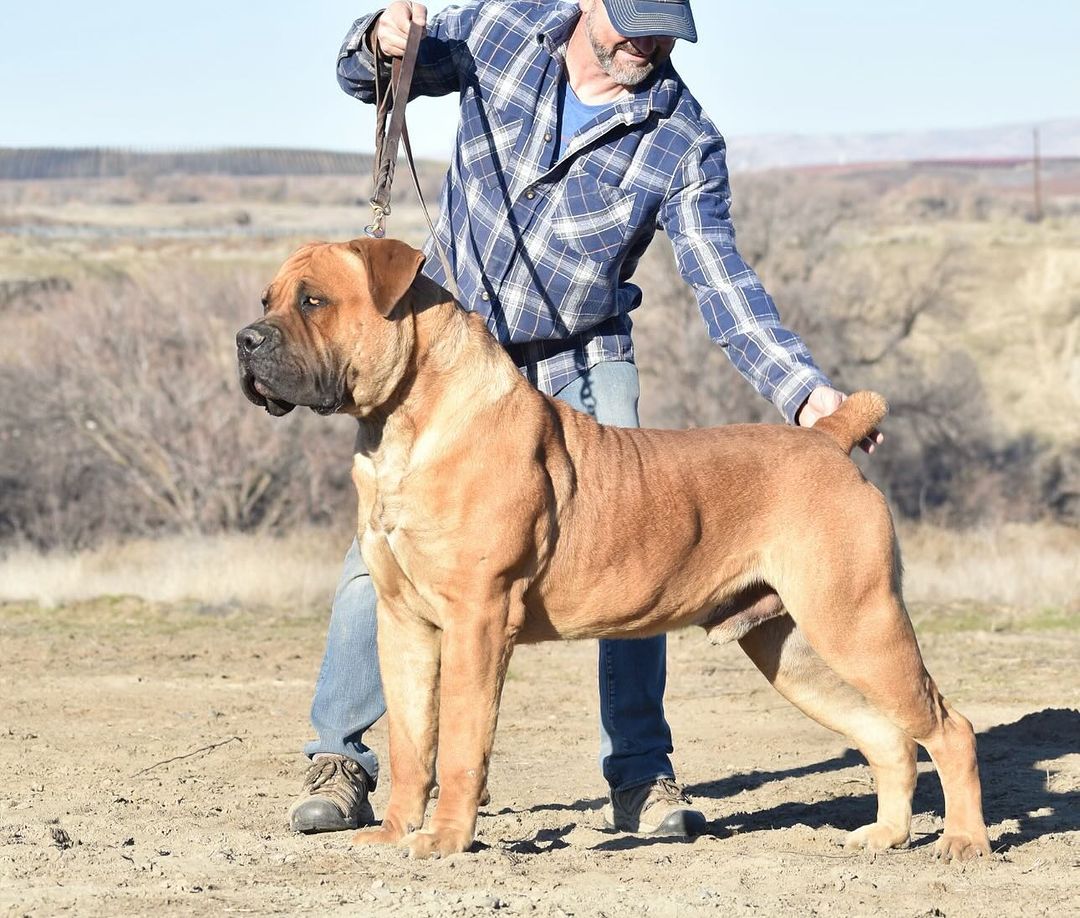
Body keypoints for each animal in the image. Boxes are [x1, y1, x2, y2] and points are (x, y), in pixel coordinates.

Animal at [234, 234, 989, 859]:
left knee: (949, 727)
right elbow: (412, 743)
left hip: (860, 622)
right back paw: (886, 835)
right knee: (889, 736)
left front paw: (445, 840)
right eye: (267, 299)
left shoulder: (478, 617)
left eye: (314, 301)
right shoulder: (404, 624)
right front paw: (394, 833)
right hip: (793, 648)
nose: (245, 339)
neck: (401, 429)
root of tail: (828, 439)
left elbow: (460, 746)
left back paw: (964, 843)